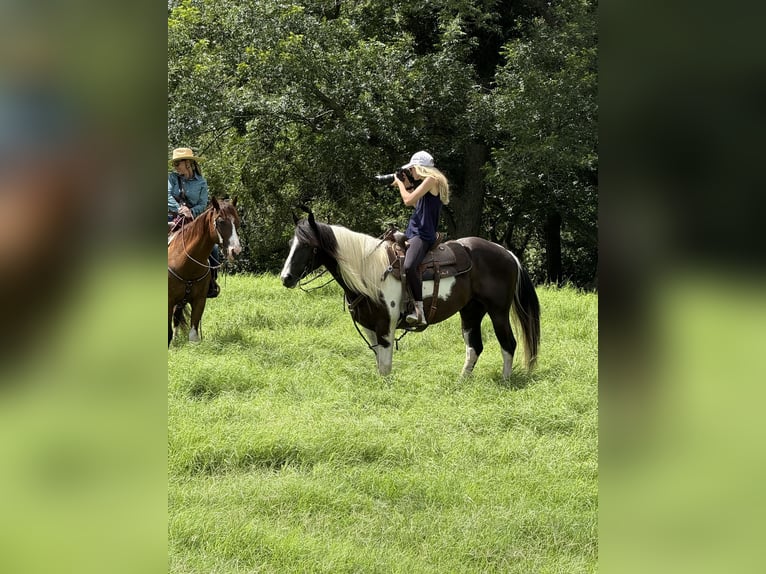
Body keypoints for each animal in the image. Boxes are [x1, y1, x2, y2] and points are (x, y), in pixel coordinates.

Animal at [168, 198, 242, 345]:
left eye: (237, 221)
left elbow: (193, 336)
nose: (235, 251)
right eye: (221, 222)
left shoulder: (199, 301)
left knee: (177, 317)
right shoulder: (168, 300)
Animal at [280, 212, 541, 378]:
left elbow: (385, 367)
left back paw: (505, 381)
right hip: (471, 312)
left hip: (498, 311)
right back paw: (461, 382)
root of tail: (507, 253)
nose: (286, 278)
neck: (370, 272)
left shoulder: (385, 327)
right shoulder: (370, 329)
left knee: (508, 344)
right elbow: (379, 364)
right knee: (474, 347)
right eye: (291, 243)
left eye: (308, 246)